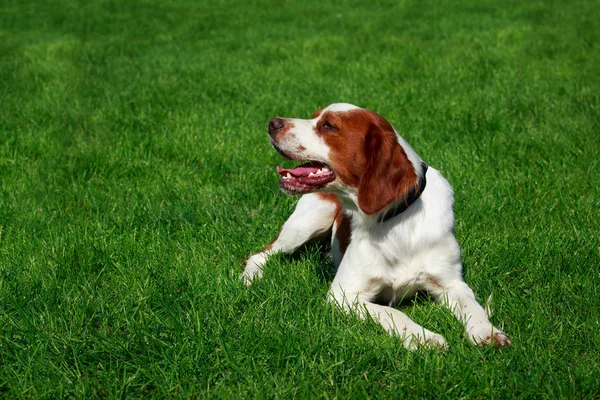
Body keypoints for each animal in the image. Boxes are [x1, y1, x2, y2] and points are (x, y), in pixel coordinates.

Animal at [241, 103, 508, 350]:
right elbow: (391, 312)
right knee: (261, 253)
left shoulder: (451, 282)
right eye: (315, 116)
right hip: (309, 221)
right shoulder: (342, 294)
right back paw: (250, 278)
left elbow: (472, 304)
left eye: (328, 125)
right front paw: (424, 338)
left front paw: (486, 331)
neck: (396, 222)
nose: (273, 123)